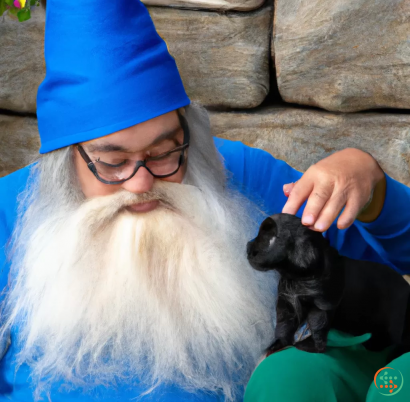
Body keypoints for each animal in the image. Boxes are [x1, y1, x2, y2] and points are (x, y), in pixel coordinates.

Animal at [247, 214, 410, 354]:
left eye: (270, 238)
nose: (248, 247)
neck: (298, 278)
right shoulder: (287, 301)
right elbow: (284, 325)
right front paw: (278, 343)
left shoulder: (323, 307)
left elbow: (317, 326)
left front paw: (312, 346)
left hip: (393, 325)